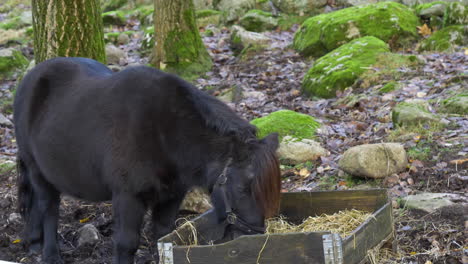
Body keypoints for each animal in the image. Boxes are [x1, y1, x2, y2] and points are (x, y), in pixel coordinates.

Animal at [12, 57, 280, 264]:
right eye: (241, 188)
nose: (256, 236)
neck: (164, 133)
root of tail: (31, 77)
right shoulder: (128, 196)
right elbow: (126, 243)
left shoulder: (172, 195)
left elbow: (163, 236)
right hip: (38, 172)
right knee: (48, 208)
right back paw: (50, 254)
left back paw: (34, 242)